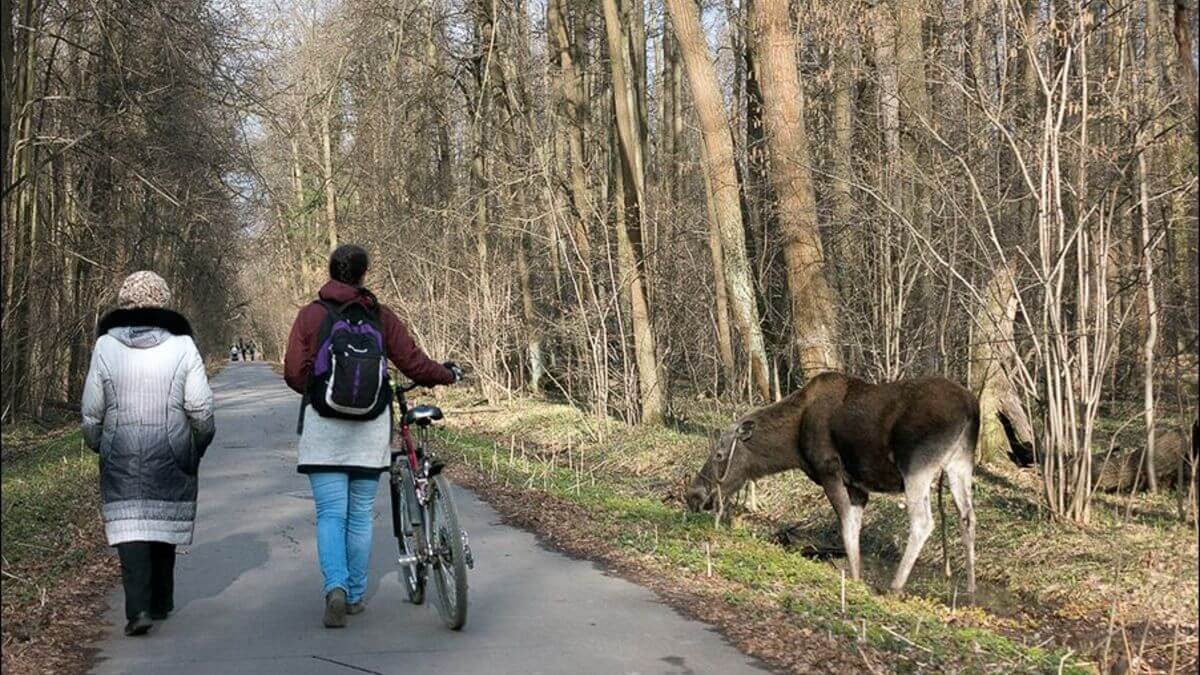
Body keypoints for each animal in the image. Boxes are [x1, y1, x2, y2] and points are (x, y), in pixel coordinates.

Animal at [686, 369, 974, 590]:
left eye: (719, 454)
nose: (693, 495)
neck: (792, 444)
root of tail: (972, 410)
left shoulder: (829, 470)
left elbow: (845, 526)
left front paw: (856, 581)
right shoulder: (857, 486)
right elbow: (854, 529)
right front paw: (857, 578)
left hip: (917, 467)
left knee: (923, 522)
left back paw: (895, 586)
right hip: (960, 464)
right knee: (968, 518)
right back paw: (969, 594)